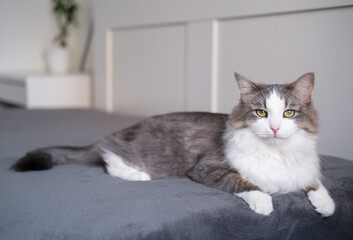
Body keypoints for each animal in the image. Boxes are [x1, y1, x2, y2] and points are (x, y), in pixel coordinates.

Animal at [11, 72, 334, 217]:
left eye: (289, 113)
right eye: (261, 113)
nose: (275, 127)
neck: (277, 152)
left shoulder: (303, 169)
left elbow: (315, 183)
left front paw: (326, 205)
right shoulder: (208, 167)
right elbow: (244, 182)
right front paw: (264, 202)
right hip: (146, 151)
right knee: (108, 157)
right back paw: (137, 174)